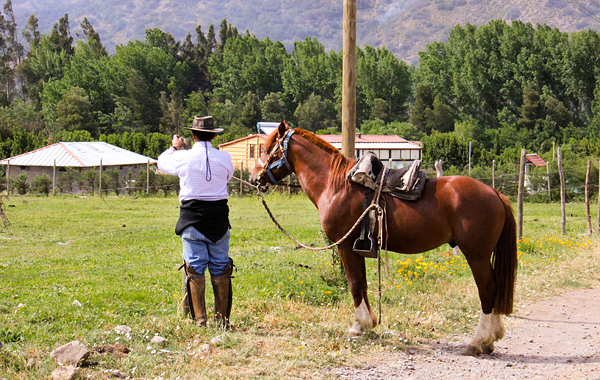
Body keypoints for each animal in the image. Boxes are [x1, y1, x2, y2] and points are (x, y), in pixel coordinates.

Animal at [251, 122, 516, 356]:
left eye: (267, 148)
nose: (255, 178)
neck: (335, 183)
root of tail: (495, 193)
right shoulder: (358, 247)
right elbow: (362, 284)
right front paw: (369, 323)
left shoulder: (346, 246)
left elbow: (354, 284)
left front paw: (358, 326)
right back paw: (491, 339)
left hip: (476, 255)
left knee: (487, 290)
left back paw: (479, 341)